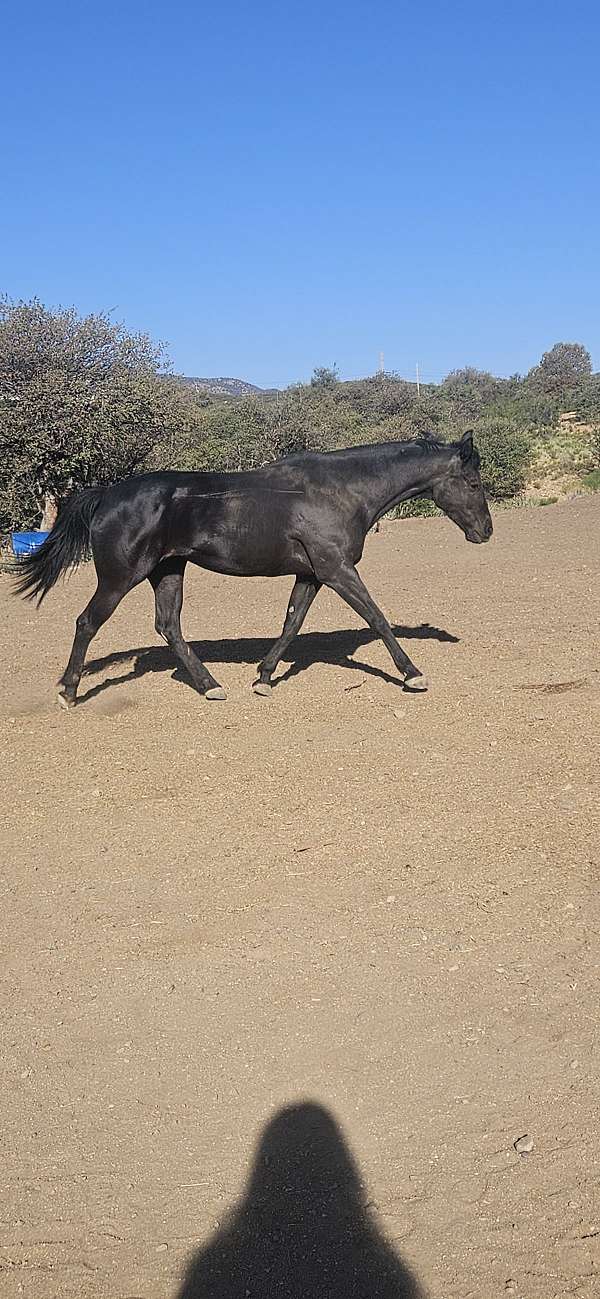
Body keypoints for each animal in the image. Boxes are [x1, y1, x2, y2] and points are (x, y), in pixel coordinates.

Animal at [14, 431, 492, 708]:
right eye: (473, 483)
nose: (486, 532)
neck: (342, 490)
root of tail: (107, 494)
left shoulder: (312, 574)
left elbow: (292, 622)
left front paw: (263, 677)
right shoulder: (336, 569)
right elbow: (376, 617)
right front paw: (413, 675)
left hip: (167, 571)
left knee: (169, 625)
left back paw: (210, 685)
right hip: (119, 578)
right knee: (87, 622)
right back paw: (68, 692)